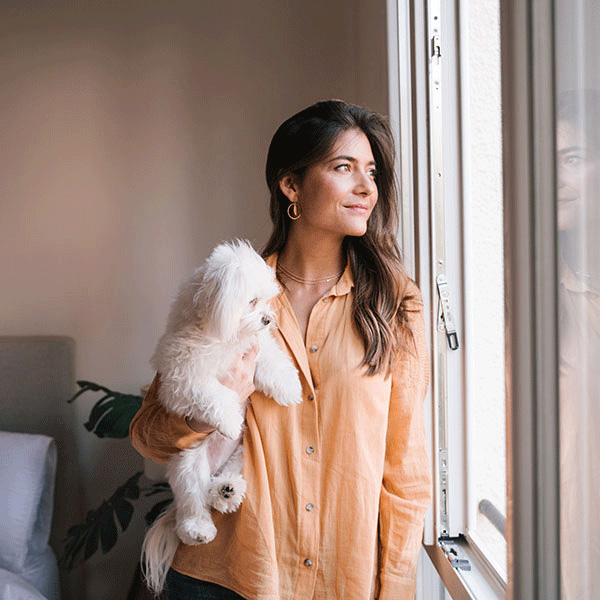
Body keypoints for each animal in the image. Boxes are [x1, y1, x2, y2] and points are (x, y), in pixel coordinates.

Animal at [139, 240, 300, 596]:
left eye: (266, 299)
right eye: (252, 300)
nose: (268, 319)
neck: (222, 334)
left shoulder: (254, 349)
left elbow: (271, 359)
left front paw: (289, 386)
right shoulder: (181, 378)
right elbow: (213, 394)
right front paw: (227, 419)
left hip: (243, 453)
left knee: (223, 485)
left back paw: (226, 491)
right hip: (188, 465)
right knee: (194, 503)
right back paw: (198, 527)